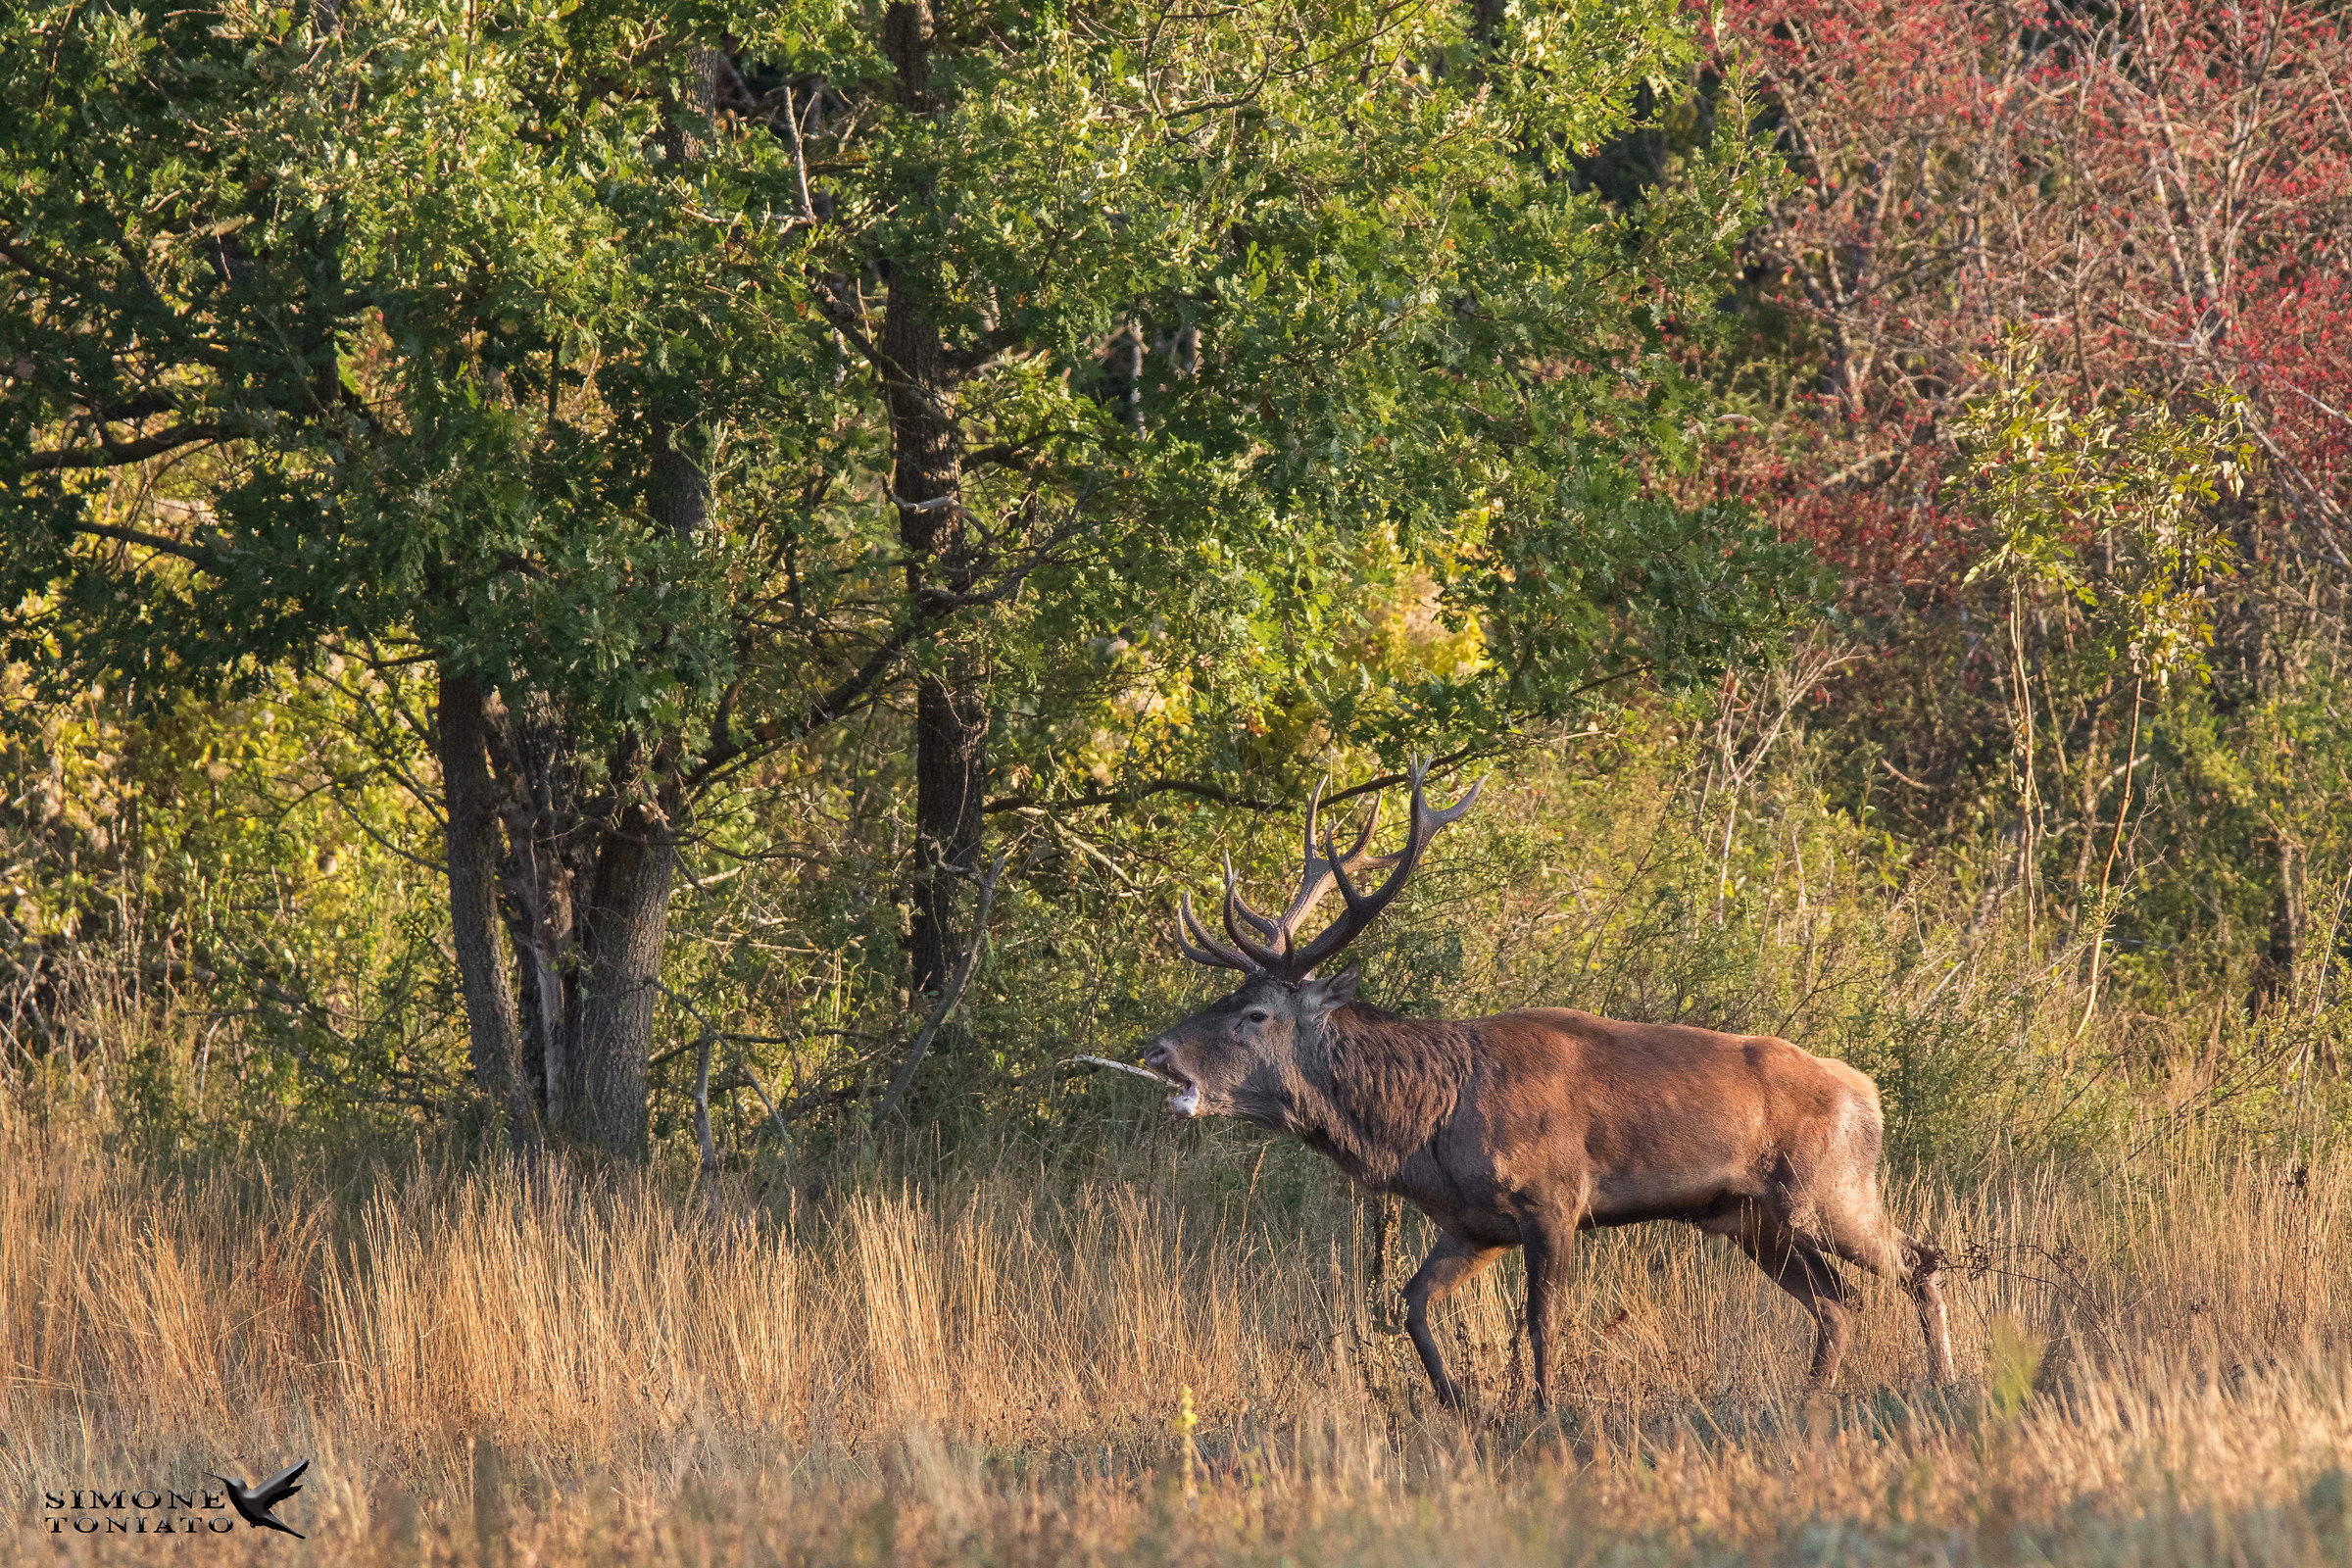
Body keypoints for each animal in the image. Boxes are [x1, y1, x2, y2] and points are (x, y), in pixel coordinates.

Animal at [1138, 759, 1957, 1409]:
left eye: (1254, 1013)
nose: (1156, 1048)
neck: (1427, 1129)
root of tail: (1867, 1092)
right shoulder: (1474, 1224)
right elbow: (1410, 1304)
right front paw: (1463, 1405)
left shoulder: (1553, 1198)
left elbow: (1539, 1322)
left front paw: (1542, 1413)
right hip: (1750, 1218)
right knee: (1839, 1303)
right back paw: (1812, 1399)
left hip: (1828, 1188)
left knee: (1919, 1260)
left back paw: (1944, 1381)